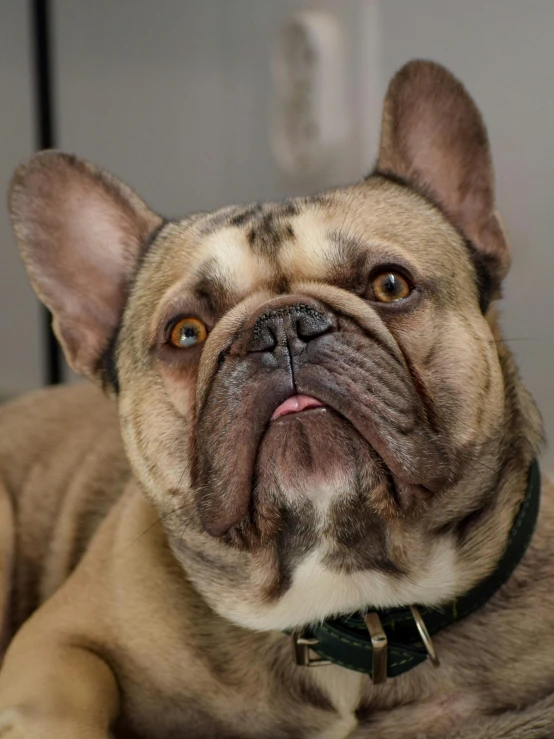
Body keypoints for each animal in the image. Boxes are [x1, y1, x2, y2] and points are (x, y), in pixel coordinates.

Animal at [1, 59, 552, 739]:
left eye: (390, 285)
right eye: (187, 333)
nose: (282, 326)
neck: (345, 598)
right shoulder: (55, 642)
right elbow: (76, 691)